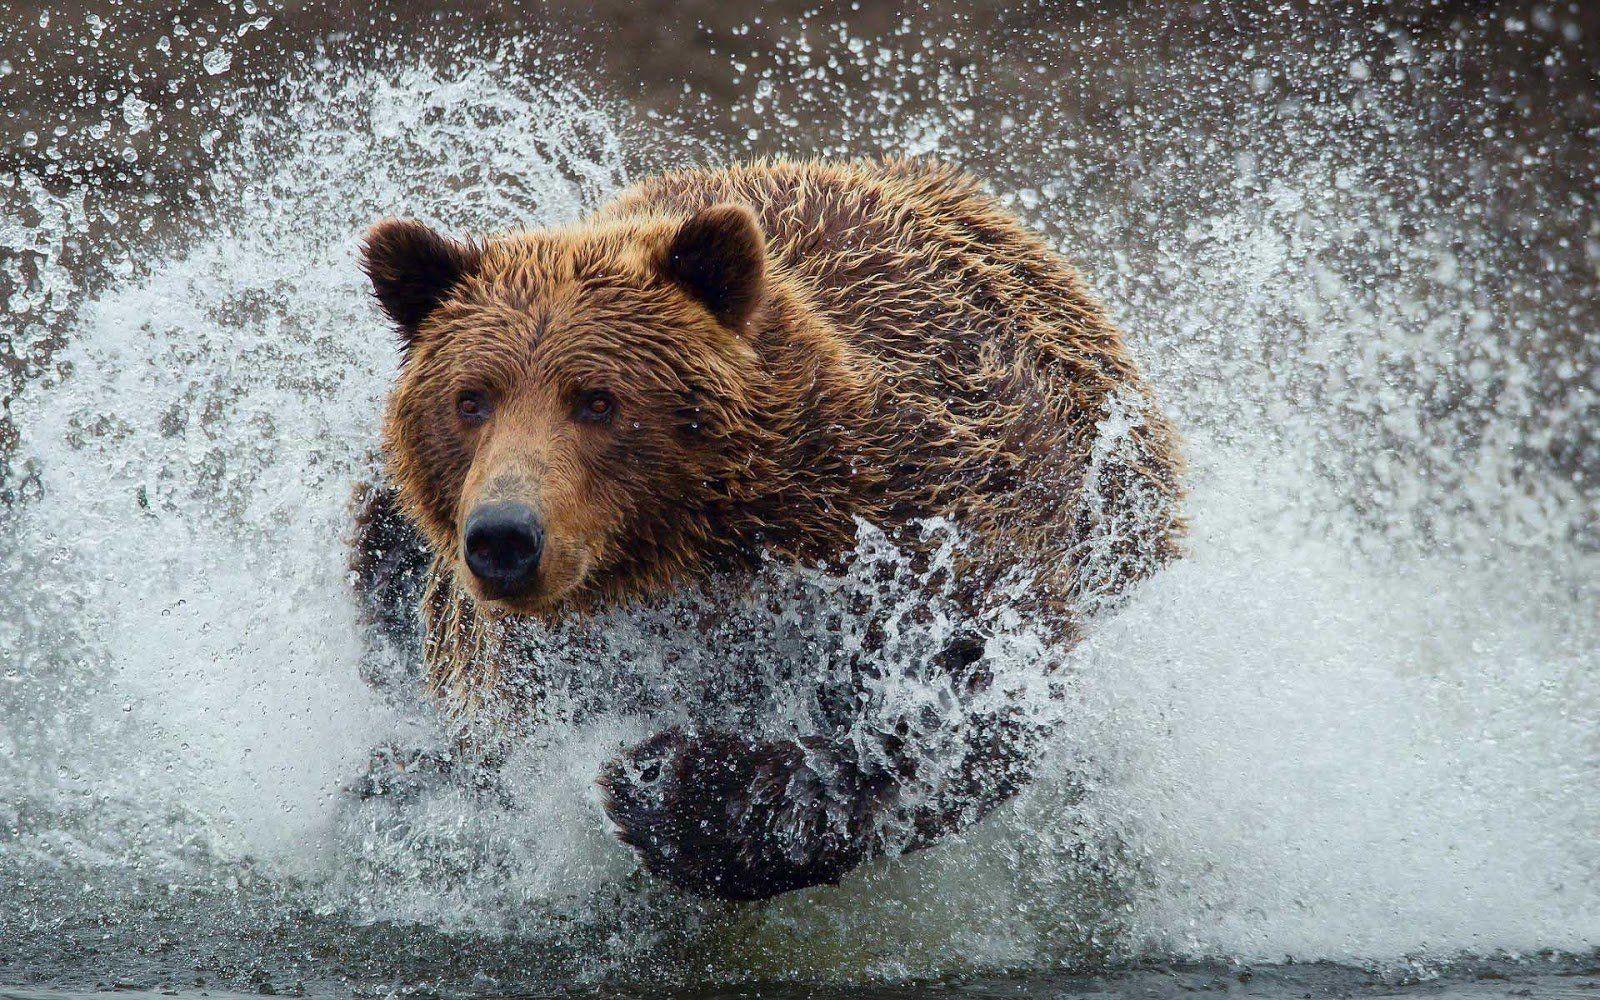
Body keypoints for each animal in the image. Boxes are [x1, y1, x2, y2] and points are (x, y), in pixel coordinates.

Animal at [353, 157, 1183, 901]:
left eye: (597, 399)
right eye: (471, 399)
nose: (504, 537)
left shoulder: (920, 518)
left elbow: (961, 699)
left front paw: (666, 782)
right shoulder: (522, 659)